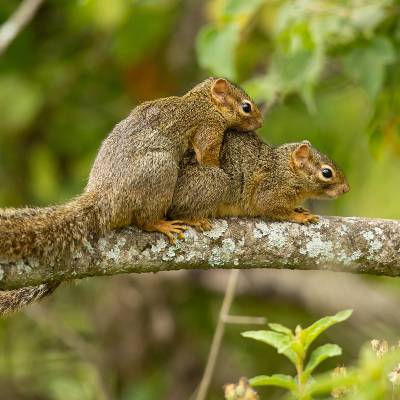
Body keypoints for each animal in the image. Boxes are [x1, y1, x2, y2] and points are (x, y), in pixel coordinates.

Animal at [169, 130, 350, 225]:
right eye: (326, 173)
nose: (346, 189)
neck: (285, 170)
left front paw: (299, 209)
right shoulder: (271, 188)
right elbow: (269, 205)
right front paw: (299, 216)